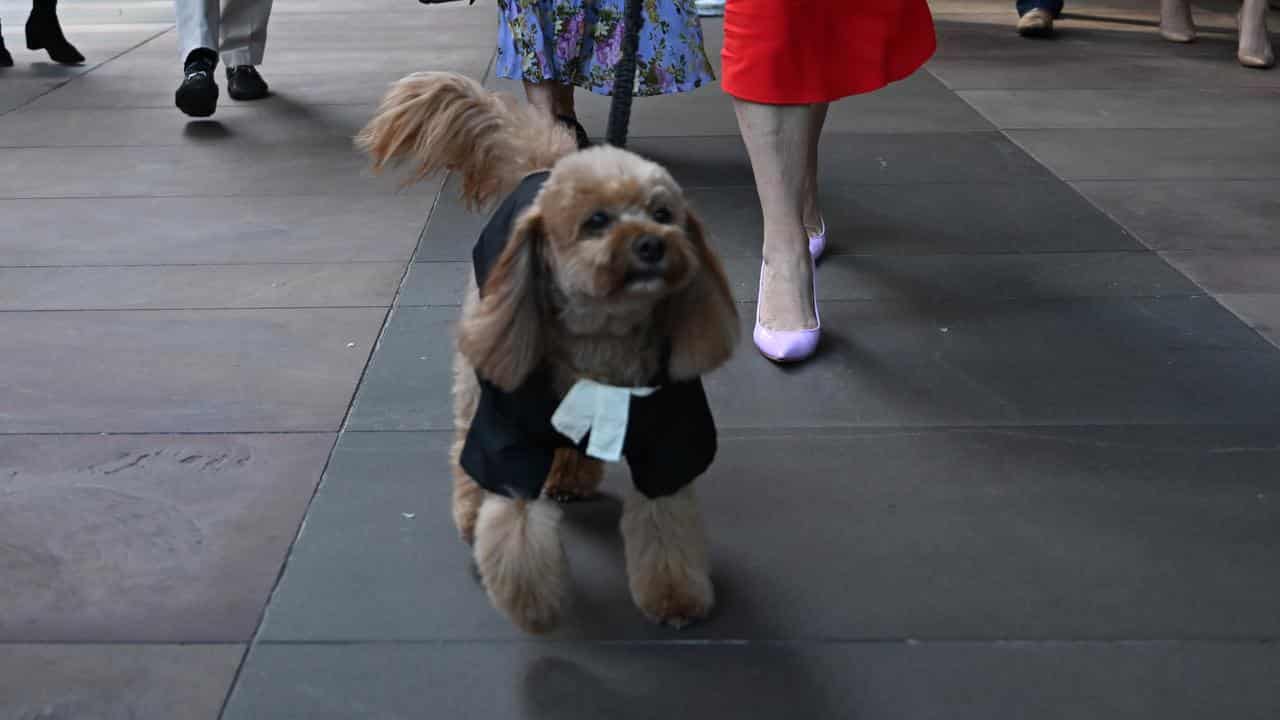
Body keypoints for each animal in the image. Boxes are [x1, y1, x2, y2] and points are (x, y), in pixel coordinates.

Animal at [360, 73, 742, 630]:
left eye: (663, 214)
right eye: (597, 220)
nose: (652, 244)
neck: (603, 337)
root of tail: (539, 168)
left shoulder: (668, 440)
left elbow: (667, 523)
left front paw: (675, 598)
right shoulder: (509, 437)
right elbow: (514, 521)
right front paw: (530, 603)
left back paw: (571, 476)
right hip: (482, 368)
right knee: (465, 445)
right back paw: (470, 513)